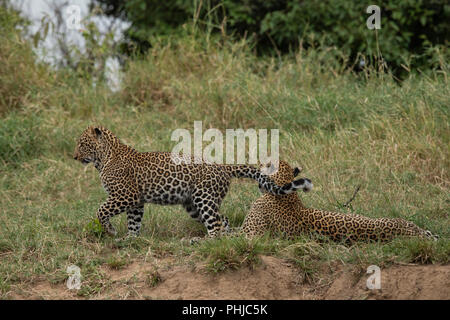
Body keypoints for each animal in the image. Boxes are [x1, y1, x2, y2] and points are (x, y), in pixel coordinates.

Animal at [73, 125, 312, 238]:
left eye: (82, 144)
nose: (74, 157)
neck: (104, 158)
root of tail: (222, 166)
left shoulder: (125, 195)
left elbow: (101, 210)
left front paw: (110, 230)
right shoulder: (136, 200)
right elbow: (134, 221)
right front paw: (130, 239)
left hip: (204, 199)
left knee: (216, 223)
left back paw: (206, 241)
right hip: (194, 205)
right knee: (222, 220)